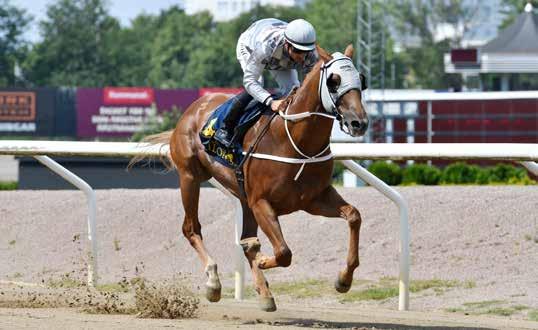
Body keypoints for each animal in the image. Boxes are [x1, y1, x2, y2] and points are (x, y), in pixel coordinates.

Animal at [141, 44, 368, 312]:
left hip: (243, 198)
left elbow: (353, 215)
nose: (359, 122)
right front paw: (260, 259)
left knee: (243, 238)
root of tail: (194, 107)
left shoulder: (314, 199)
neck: (295, 141)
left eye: (361, 80)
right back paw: (213, 282)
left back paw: (264, 292)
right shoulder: (261, 202)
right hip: (189, 177)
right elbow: (283, 252)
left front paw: (344, 279)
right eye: (334, 81)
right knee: (191, 228)